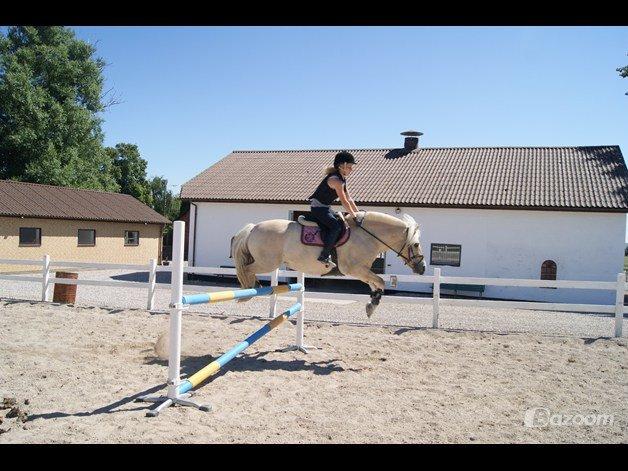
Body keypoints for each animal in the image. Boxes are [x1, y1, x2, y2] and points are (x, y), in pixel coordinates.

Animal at [231, 212, 426, 318]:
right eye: (416, 244)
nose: (422, 268)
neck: (367, 235)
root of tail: (253, 228)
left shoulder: (363, 271)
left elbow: (376, 284)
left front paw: (372, 304)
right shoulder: (355, 269)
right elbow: (380, 281)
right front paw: (372, 305)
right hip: (267, 262)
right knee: (246, 269)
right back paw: (249, 290)